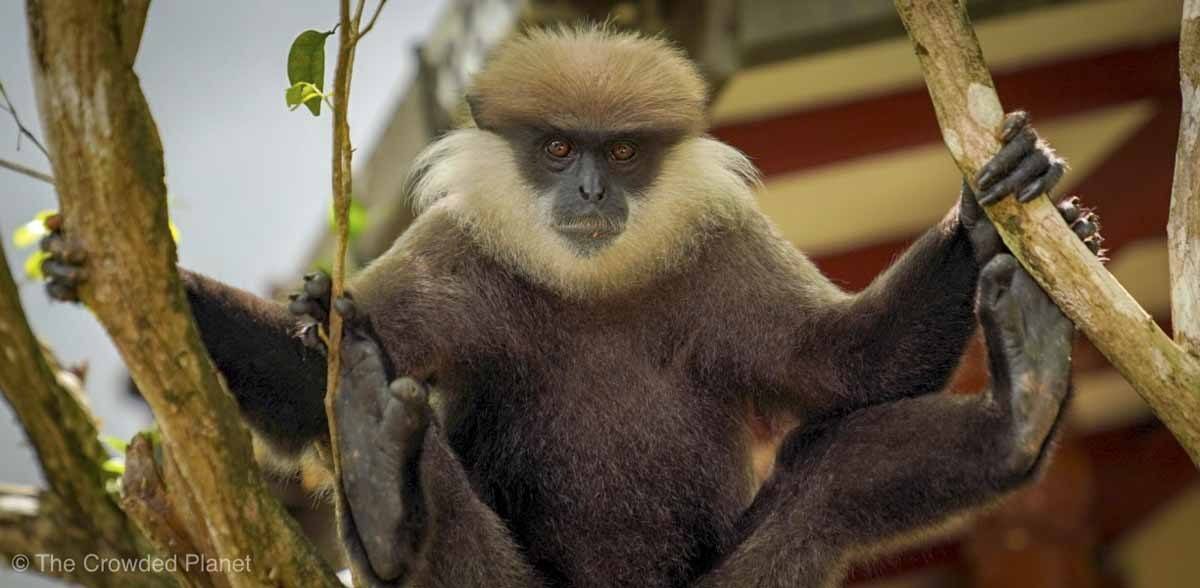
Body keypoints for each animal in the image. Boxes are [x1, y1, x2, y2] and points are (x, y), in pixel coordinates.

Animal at [42, 25, 1099, 585]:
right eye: (557, 149)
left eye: (621, 152)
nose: (590, 189)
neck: (593, 289)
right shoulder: (457, 255)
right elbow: (316, 373)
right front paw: (108, 263)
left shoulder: (721, 252)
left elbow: (848, 366)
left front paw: (988, 214)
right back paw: (383, 498)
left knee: (832, 482)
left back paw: (1024, 402)